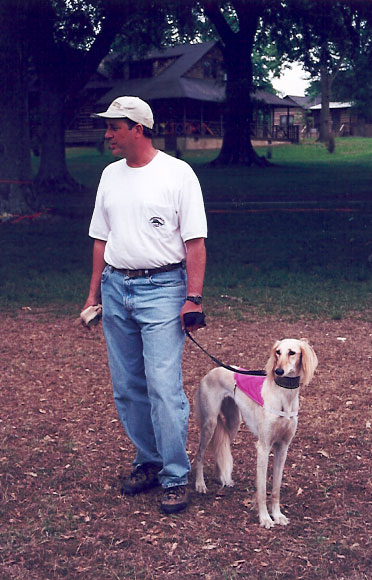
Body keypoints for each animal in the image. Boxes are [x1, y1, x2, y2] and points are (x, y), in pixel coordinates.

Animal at [193, 338, 318, 528]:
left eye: (292, 352)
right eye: (278, 352)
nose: (278, 371)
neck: (284, 395)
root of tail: (212, 371)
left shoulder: (283, 447)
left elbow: (276, 488)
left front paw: (277, 515)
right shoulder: (263, 447)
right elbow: (262, 488)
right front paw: (265, 518)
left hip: (233, 423)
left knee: (219, 447)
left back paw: (223, 478)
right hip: (210, 423)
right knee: (199, 455)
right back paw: (200, 484)